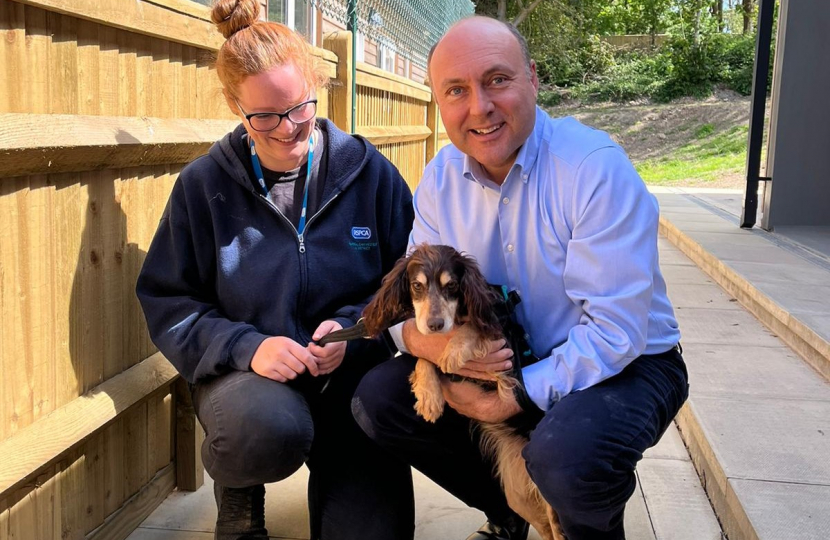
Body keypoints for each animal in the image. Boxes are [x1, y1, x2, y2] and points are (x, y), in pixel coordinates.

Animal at [362, 244, 564, 540]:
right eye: (416, 286)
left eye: (453, 286)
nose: (434, 324)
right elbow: (425, 357)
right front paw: (429, 396)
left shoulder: (501, 344)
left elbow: (473, 328)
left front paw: (454, 351)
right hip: (517, 493)